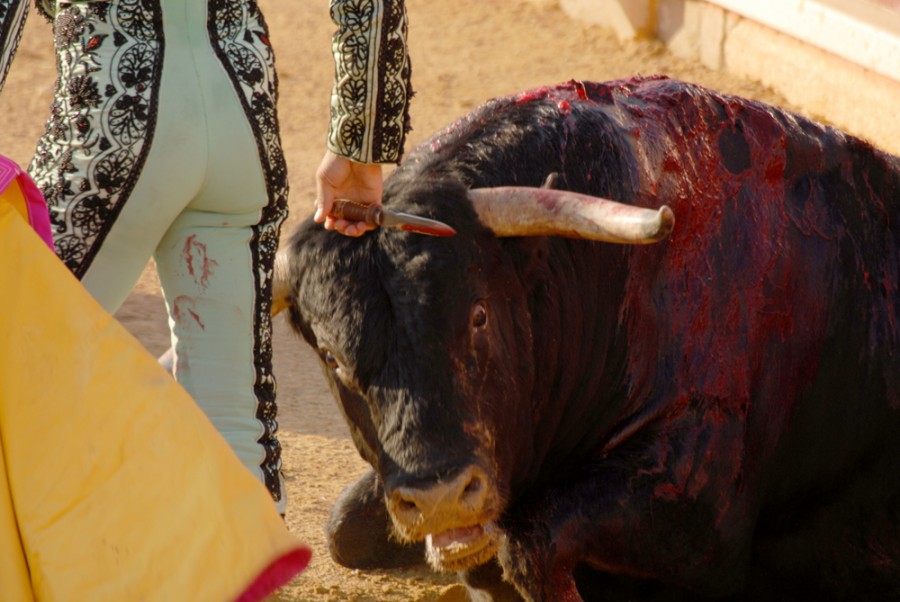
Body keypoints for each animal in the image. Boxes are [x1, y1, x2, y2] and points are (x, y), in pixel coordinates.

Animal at [276, 77, 900, 596]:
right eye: (330, 356)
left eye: (478, 315)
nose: (440, 499)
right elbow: (341, 528)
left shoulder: (701, 507)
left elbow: (528, 545)